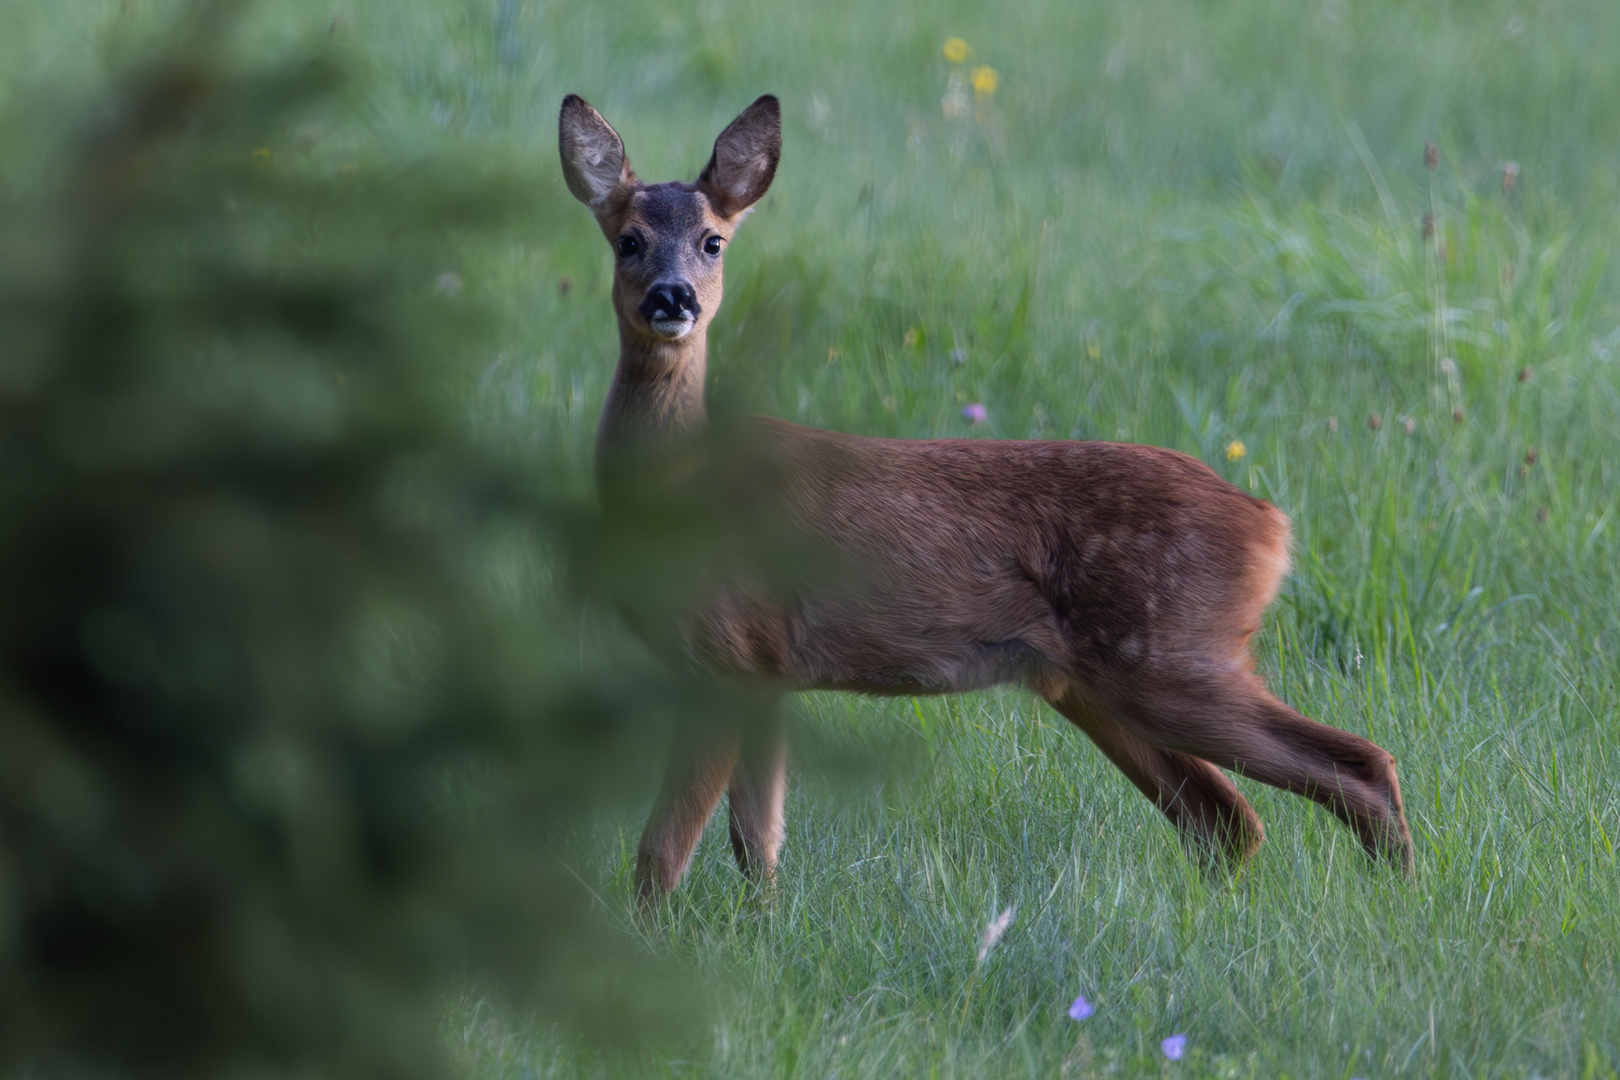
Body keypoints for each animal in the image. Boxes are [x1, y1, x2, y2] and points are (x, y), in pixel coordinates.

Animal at [560, 93, 1419, 906]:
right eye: (628, 239)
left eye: (713, 241)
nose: (673, 298)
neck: (679, 489)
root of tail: (1271, 524)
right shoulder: (767, 667)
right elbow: (758, 843)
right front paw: (761, 930)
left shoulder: (727, 654)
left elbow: (663, 850)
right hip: (1098, 681)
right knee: (1225, 819)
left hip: (1173, 655)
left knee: (1353, 766)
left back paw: (1400, 897)